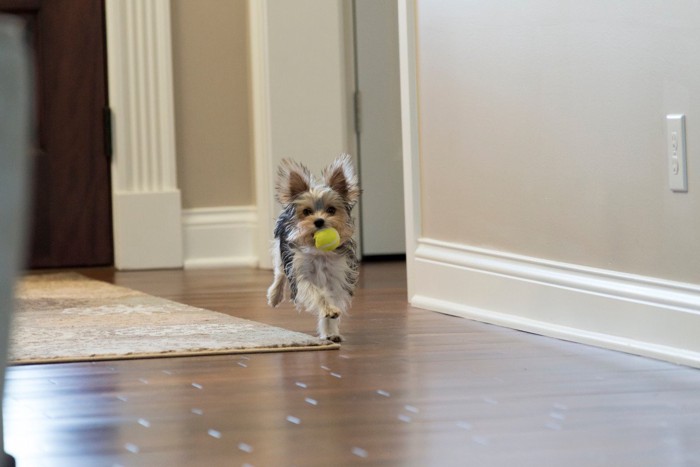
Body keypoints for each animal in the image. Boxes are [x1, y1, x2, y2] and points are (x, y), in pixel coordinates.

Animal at [268, 155, 360, 342]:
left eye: (331, 210)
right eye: (307, 211)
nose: (319, 221)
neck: (319, 254)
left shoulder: (335, 278)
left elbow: (331, 299)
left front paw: (330, 331)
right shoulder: (301, 275)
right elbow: (318, 294)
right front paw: (328, 311)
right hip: (281, 251)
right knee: (279, 273)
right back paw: (274, 296)